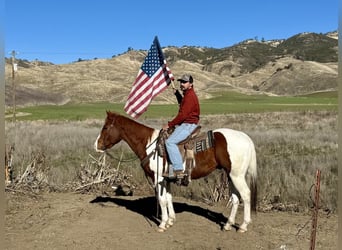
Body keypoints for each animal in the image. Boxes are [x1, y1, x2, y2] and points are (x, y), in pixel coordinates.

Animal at [93, 111, 256, 232]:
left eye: (105, 127)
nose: (96, 146)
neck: (149, 145)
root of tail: (246, 138)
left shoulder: (158, 178)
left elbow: (162, 200)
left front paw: (162, 224)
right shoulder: (167, 179)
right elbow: (169, 198)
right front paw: (171, 220)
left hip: (237, 175)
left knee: (246, 195)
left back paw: (243, 226)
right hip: (230, 175)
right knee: (235, 198)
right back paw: (228, 225)